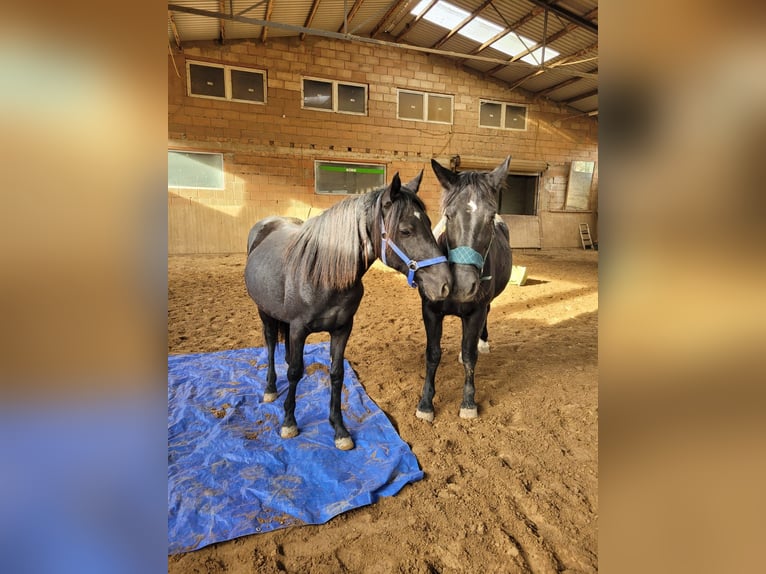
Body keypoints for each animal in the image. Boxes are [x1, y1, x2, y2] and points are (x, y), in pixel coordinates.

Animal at [245, 172, 451, 450]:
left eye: (429, 224)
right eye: (406, 230)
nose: (445, 284)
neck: (322, 274)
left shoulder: (342, 328)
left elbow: (336, 373)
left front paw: (339, 429)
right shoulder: (298, 328)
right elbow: (294, 372)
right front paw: (289, 422)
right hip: (264, 312)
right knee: (269, 346)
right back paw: (269, 389)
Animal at [415, 157, 513, 422]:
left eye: (490, 217)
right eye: (448, 216)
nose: (462, 284)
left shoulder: (475, 312)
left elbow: (470, 355)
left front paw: (468, 402)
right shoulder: (430, 311)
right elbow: (432, 354)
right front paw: (426, 403)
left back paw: (483, 341)